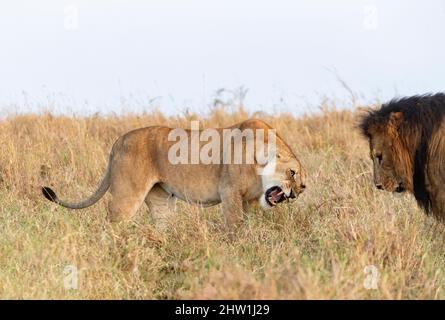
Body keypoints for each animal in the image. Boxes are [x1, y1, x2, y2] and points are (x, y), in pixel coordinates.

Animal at [42, 119, 306, 231]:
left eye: (303, 186)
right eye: (291, 172)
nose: (295, 194)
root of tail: (119, 141)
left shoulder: (248, 200)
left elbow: (248, 224)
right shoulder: (229, 192)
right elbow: (234, 224)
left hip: (160, 200)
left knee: (161, 226)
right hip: (127, 195)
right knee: (112, 224)